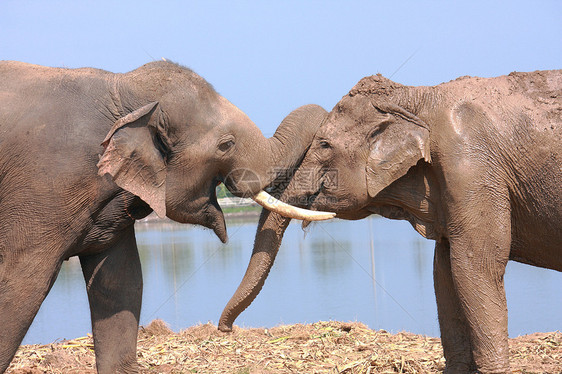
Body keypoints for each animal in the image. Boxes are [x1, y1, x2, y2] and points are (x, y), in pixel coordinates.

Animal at [0, 60, 328, 372]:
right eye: (226, 144)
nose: (225, 329)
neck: (121, 88)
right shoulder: (43, 187)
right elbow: (23, 282)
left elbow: (122, 278)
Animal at [219, 69, 560, 372]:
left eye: (324, 145)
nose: (225, 329)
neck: (418, 96)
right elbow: (444, 269)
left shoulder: (472, 166)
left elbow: (476, 264)